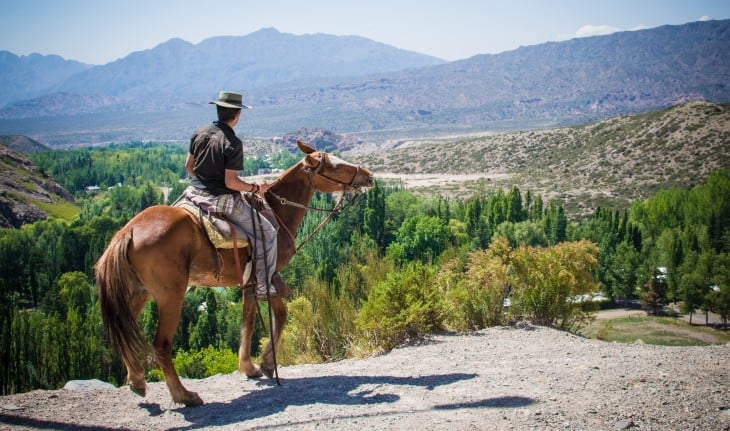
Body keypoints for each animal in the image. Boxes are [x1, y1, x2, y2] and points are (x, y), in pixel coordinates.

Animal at [94, 140, 372, 406]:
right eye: (336, 167)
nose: (369, 176)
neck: (276, 212)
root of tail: (128, 232)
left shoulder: (251, 281)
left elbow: (256, 320)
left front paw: (254, 365)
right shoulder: (264, 276)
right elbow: (267, 318)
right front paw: (262, 364)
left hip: (138, 292)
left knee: (123, 330)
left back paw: (137, 380)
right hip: (170, 295)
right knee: (161, 343)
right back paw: (184, 395)